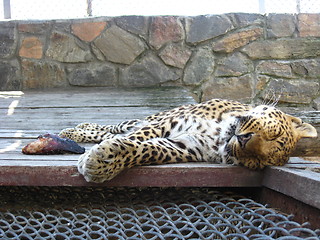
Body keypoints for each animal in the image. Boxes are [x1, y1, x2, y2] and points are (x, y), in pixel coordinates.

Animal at [59, 98, 318, 183]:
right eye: (274, 134)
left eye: (255, 161)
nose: (244, 142)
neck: (219, 134)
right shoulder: (166, 123)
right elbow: (137, 137)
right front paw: (93, 158)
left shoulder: (184, 146)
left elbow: (145, 149)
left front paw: (105, 161)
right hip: (151, 117)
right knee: (117, 127)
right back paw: (74, 131)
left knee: (114, 133)